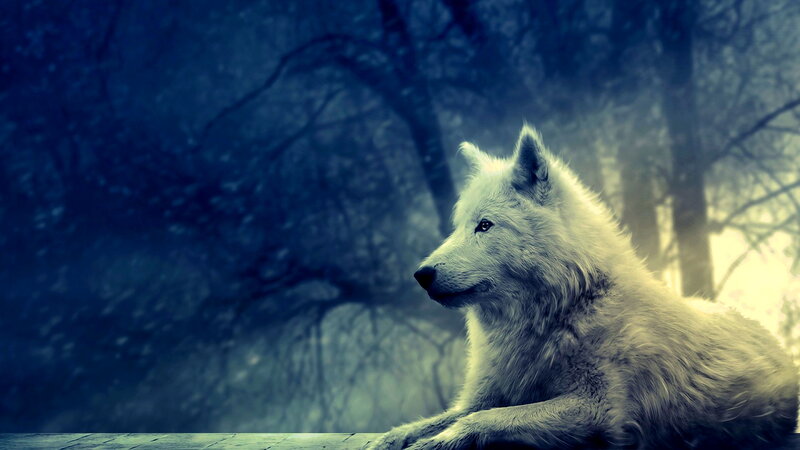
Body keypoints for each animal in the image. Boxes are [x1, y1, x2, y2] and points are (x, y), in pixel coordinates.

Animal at [369, 126, 798, 449]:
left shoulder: (597, 409)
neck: (564, 309)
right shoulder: (484, 394)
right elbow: (437, 419)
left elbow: (484, 419)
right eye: (458, 226)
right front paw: (392, 438)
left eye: (485, 225)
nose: (421, 274)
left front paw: (438, 441)